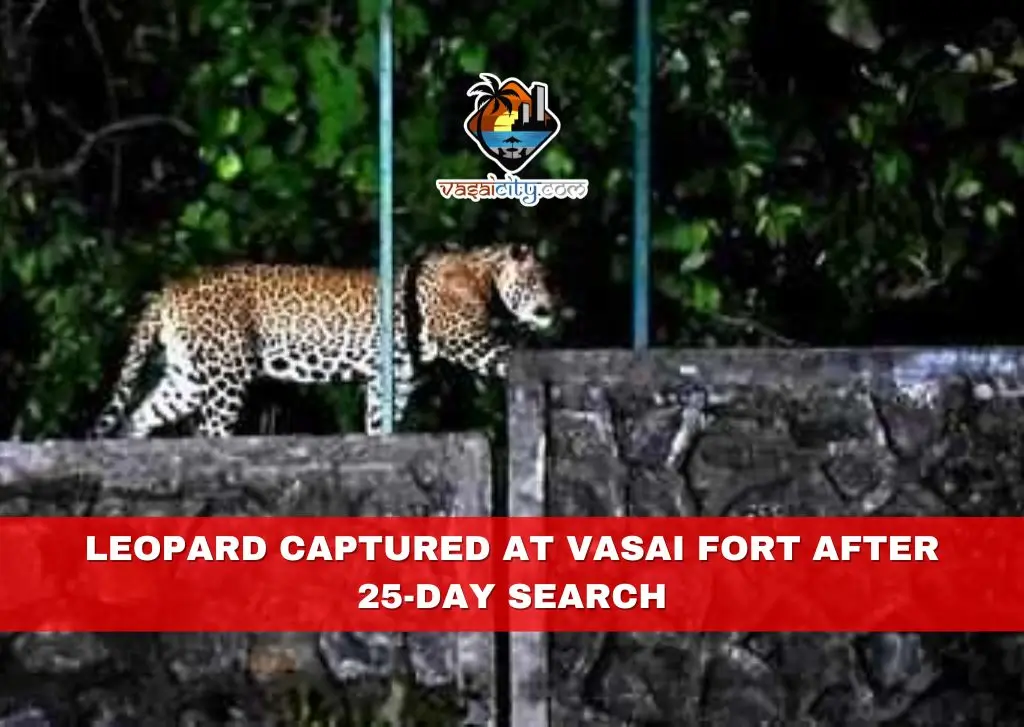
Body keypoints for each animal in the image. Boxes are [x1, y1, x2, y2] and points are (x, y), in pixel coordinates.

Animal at [90, 243, 556, 439]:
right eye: (539, 280)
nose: (553, 306)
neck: (485, 275)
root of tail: (169, 290)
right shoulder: (469, 341)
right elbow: (505, 356)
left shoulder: (394, 377)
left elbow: (379, 422)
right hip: (227, 375)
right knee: (209, 432)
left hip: (187, 377)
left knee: (136, 417)